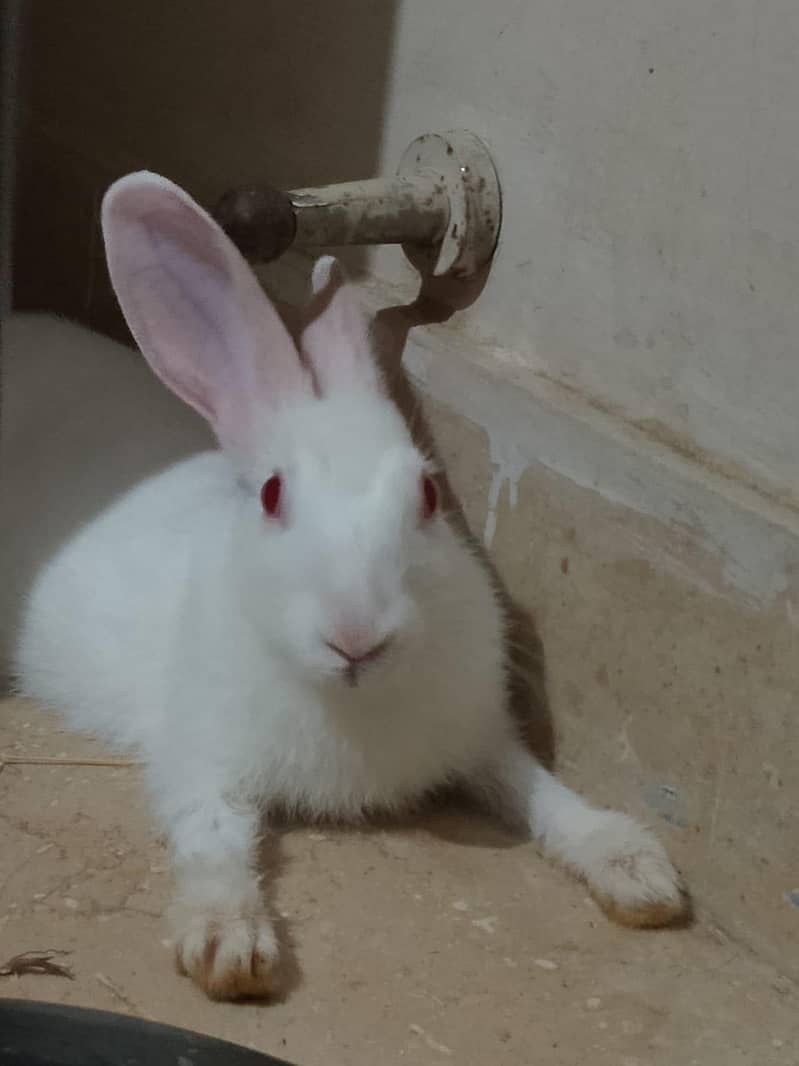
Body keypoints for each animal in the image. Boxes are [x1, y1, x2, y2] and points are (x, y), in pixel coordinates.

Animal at [8, 172, 687, 1001]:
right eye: (271, 495)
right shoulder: (197, 755)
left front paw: (638, 873)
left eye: (426, 495)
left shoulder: (482, 737)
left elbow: (540, 793)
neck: (348, 701)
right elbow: (212, 838)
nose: (356, 636)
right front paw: (228, 947)